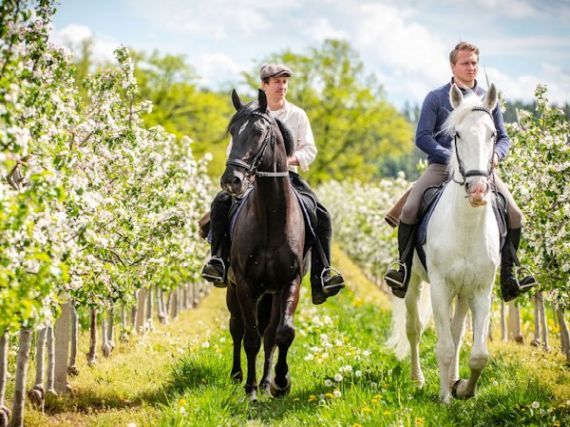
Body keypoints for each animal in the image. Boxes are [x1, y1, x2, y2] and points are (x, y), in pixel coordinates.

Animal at [221, 88, 306, 400]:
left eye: (259, 132)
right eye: (232, 131)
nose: (231, 181)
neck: (271, 216)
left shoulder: (289, 282)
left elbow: (282, 333)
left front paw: (280, 381)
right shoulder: (246, 284)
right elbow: (250, 337)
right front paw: (251, 388)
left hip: (270, 294)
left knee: (270, 333)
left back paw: (268, 380)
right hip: (234, 290)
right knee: (237, 327)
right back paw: (238, 375)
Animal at [386, 83, 502, 404]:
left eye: (493, 134)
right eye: (457, 135)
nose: (478, 191)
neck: (466, 227)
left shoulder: (480, 291)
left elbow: (478, 354)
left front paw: (462, 388)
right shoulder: (440, 288)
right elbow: (444, 346)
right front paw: (445, 398)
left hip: (462, 294)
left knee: (457, 331)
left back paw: (451, 378)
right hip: (413, 283)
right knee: (414, 329)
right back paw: (418, 379)